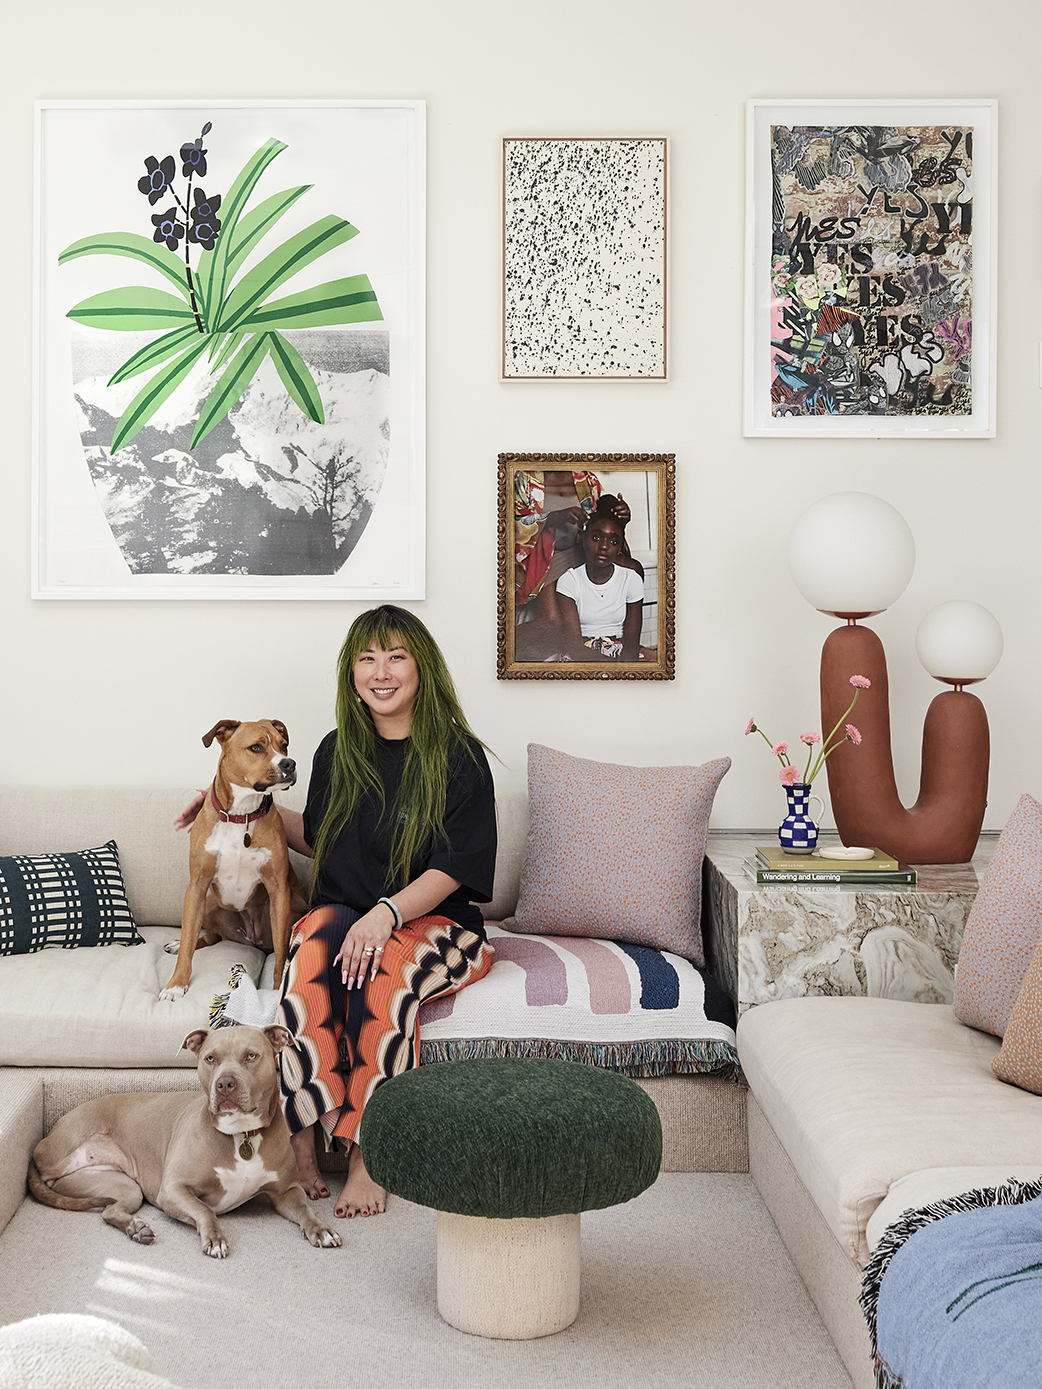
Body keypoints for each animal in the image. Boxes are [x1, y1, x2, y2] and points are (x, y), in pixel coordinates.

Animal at [26, 1022, 340, 1261]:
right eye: (210, 1058)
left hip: (122, 1187)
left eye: (252, 1056)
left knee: (110, 1210)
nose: (224, 1083)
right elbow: (204, 1210)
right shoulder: (173, 1190)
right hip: (74, 1148)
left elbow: (305, 1209)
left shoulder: (287, 1191)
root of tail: (44, 1141)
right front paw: (215, 1238)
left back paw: (136, 1228)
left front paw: (321, 1229)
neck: (241, 1135)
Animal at [159, 727, 305, 1000]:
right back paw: (178, 943)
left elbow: (281, 954)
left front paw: (276, 989)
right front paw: (176, 984)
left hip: (293, 905)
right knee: (207, 937)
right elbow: (187, 941)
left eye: (284, 746)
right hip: (207, 902)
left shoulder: (278, 890)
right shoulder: (197, 886)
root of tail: (253, 940)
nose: (289, 763)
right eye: (256, 747)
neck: (242, 815)